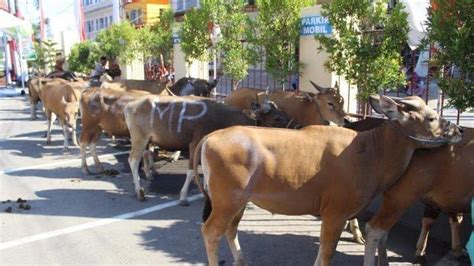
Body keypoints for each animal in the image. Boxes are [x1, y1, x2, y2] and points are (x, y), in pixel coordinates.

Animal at [125, 96, 296, 203]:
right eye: (277, 118)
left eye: (282, 112)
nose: (296, 125)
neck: (222, 117)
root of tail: (130, 105)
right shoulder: (194, 144)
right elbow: (191, 171)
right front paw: (183, 197)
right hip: (139, 139)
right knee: (132, 160)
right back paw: (140, 192)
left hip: (147, 140)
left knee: (145, 154)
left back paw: (149, 174)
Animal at [193, 96, 462, 266]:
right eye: (431, 118)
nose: (459, 130)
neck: (370, 151)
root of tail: (210, 137)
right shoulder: (336, 214)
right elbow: (328, 253)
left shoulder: (332, 216)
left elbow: (321, 250)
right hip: (227, 202)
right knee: (210, 232)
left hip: (238, 203)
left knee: (230, 230)